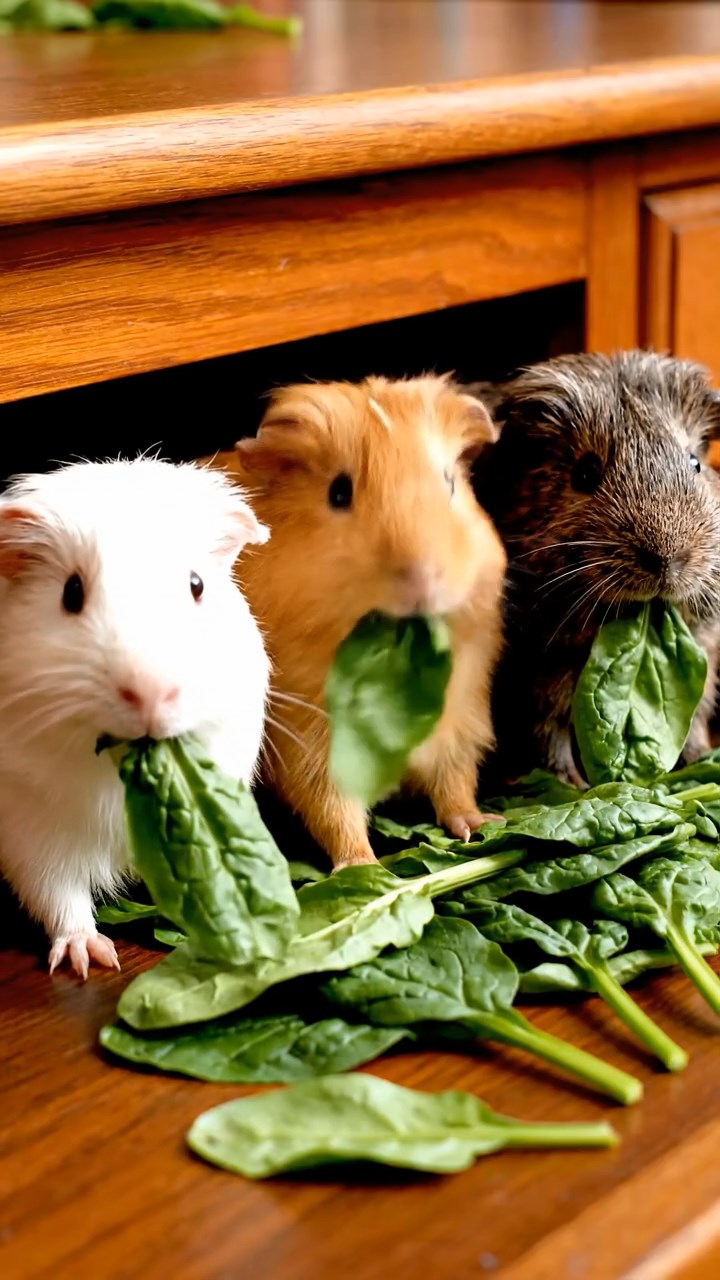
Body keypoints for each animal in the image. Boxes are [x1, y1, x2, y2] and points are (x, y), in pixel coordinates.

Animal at [0, 457, 270, 978]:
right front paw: (89, 960)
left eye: (197, 585)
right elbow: (61, 899)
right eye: (71, 593)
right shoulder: (35, 838)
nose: (151, 695)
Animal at [230, 374, 507, 869]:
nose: (422, 578)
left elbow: (455, 784)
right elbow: (335, 811)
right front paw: (362, 867)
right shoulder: (312, 746)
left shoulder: (462, 720)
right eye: (339, 493)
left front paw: (475, 827)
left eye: (449, 483)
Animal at [472, 350, 720, 786]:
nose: (668, 560)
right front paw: (572, 785)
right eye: (585, 473)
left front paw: (700, 761)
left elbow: (694, 722)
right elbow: (549, 736)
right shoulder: (541, 676)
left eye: (695, 463)